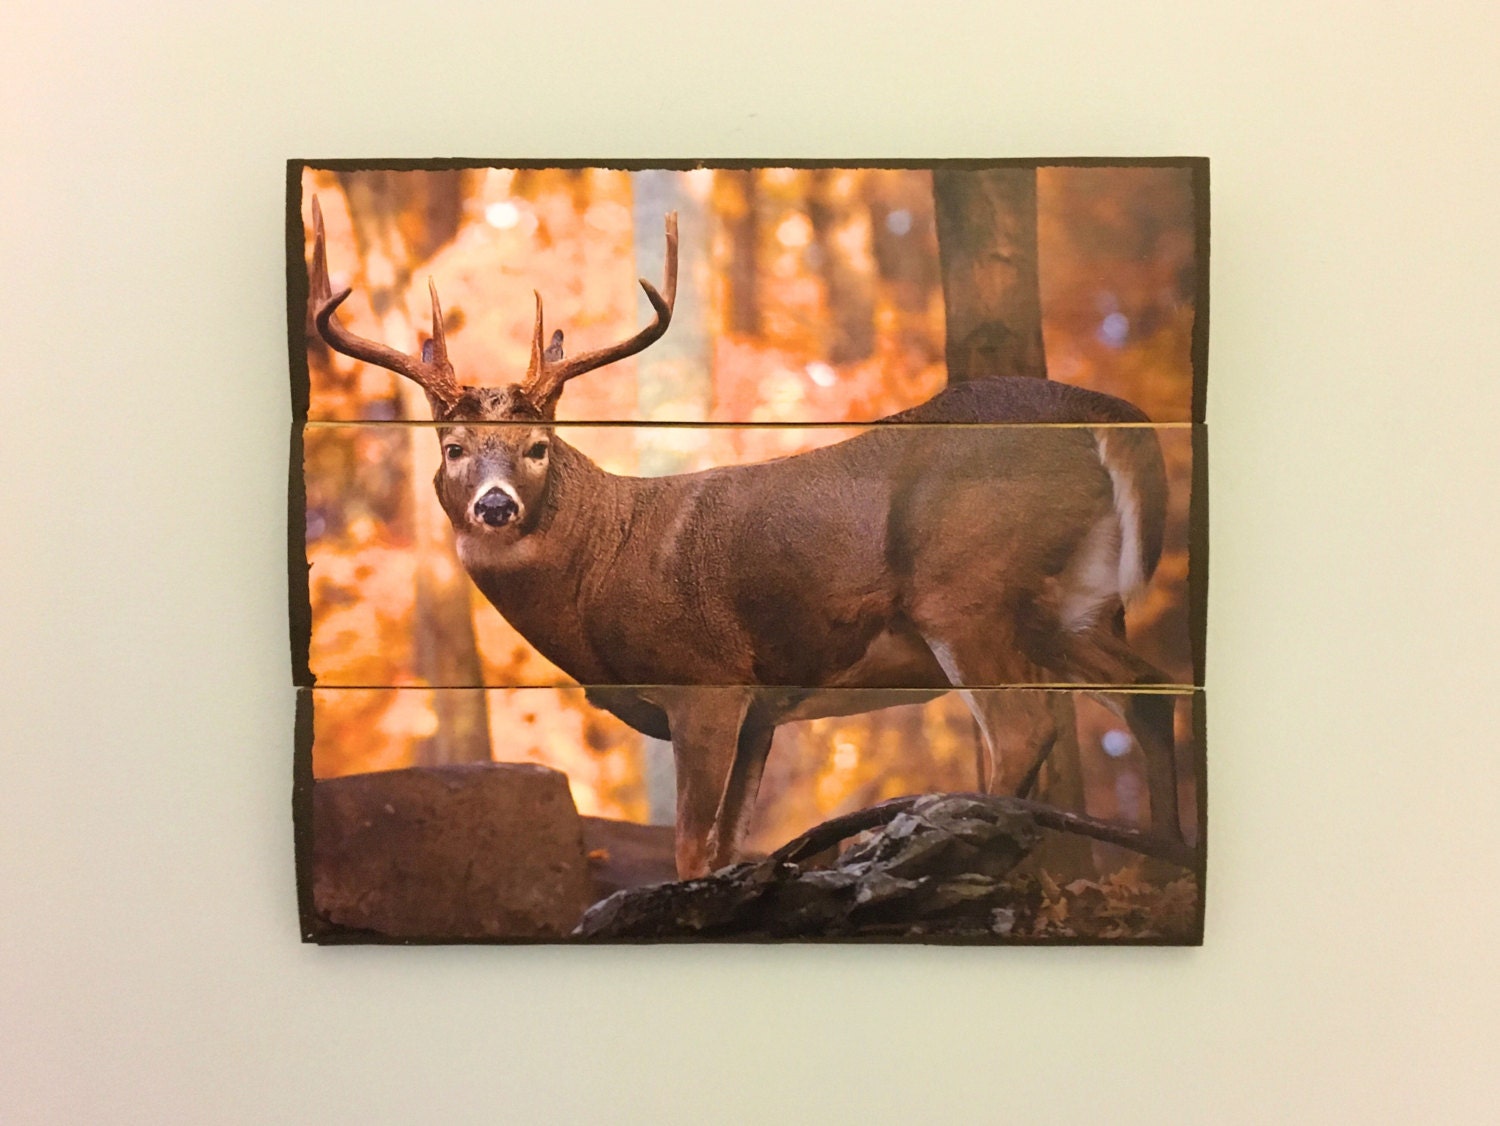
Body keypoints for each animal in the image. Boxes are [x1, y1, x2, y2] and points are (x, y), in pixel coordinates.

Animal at [307, 196, 1186, 879]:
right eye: (453, 448)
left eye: (538, 448)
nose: (495, 506)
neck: (600, 564)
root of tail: (1104, 413)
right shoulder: (764, 705)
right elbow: (732, 845)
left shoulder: (707, 678)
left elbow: (693, 850)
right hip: (1075, 606)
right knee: (1152, 689)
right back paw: (1167, 859)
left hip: (966, 588)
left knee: (1027, 727)